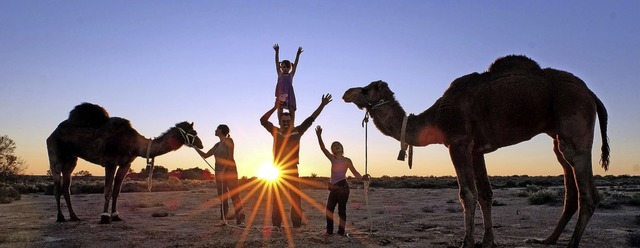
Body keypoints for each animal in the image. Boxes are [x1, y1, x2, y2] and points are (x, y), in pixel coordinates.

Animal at [46, 101, 204, 224]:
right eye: (194, 133)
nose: (201, 145)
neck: (133, 143)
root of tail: (52, 134)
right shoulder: (110, 162)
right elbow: (108, 191)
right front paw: (105, 218)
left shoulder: (125, 164)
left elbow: (117, 191)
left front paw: (116, 216)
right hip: (55, 154)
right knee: (56, 185)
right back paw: (60, 217)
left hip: (71, 159)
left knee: (66, 187)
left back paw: (74, 217)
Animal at [344, 55, 608, 248]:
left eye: (367, 89)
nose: (347, 93)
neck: (437, 118)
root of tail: (591, 94)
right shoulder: (476, 150)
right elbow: (485, 194)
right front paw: (487, 240)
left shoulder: (458, 142)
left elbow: (467, 194)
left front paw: (467, 242)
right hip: (557, 136)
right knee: (568, 183)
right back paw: (547, 239)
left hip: (574, 122)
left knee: (587, 190)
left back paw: (571, 244)